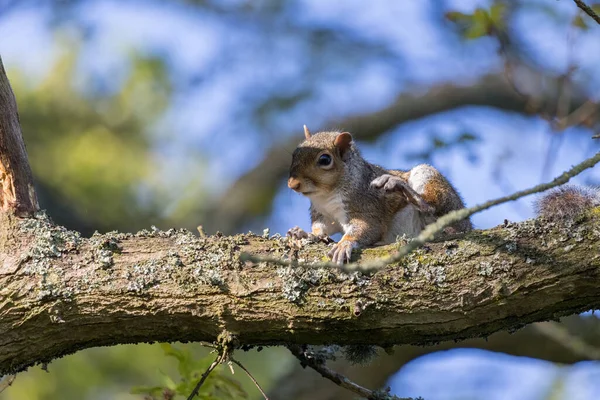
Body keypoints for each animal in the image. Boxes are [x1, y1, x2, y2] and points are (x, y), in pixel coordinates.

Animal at [288, 126, 474, 264]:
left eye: (325, 160)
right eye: (295, 153)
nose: (292, 184)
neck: (325, 196)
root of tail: (468, 226)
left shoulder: (366, 204)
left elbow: (368, 227)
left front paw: (344, 244)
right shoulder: (323, 214)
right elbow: (321, 228)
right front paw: (305, 234)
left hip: (434, 186)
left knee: (431, 207)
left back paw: (402, 187)